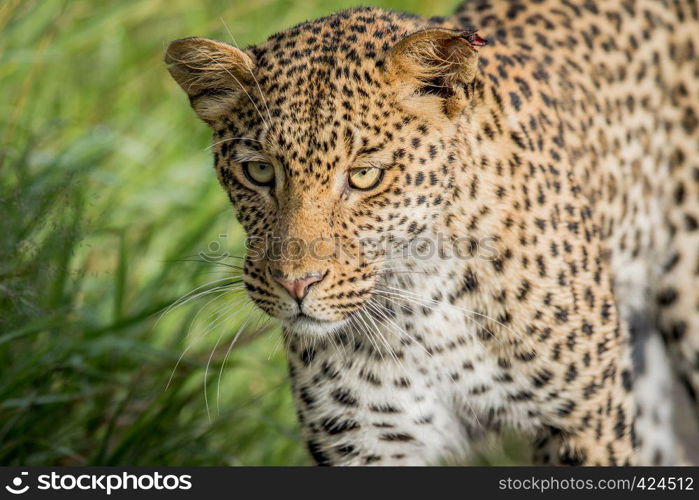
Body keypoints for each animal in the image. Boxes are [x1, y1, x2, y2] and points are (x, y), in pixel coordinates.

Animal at [165, 0, 699, 466]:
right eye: (258, 171)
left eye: (364, 176)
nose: (296, 285)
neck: (422, 300)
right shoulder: (367, 441)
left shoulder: (586, 422)